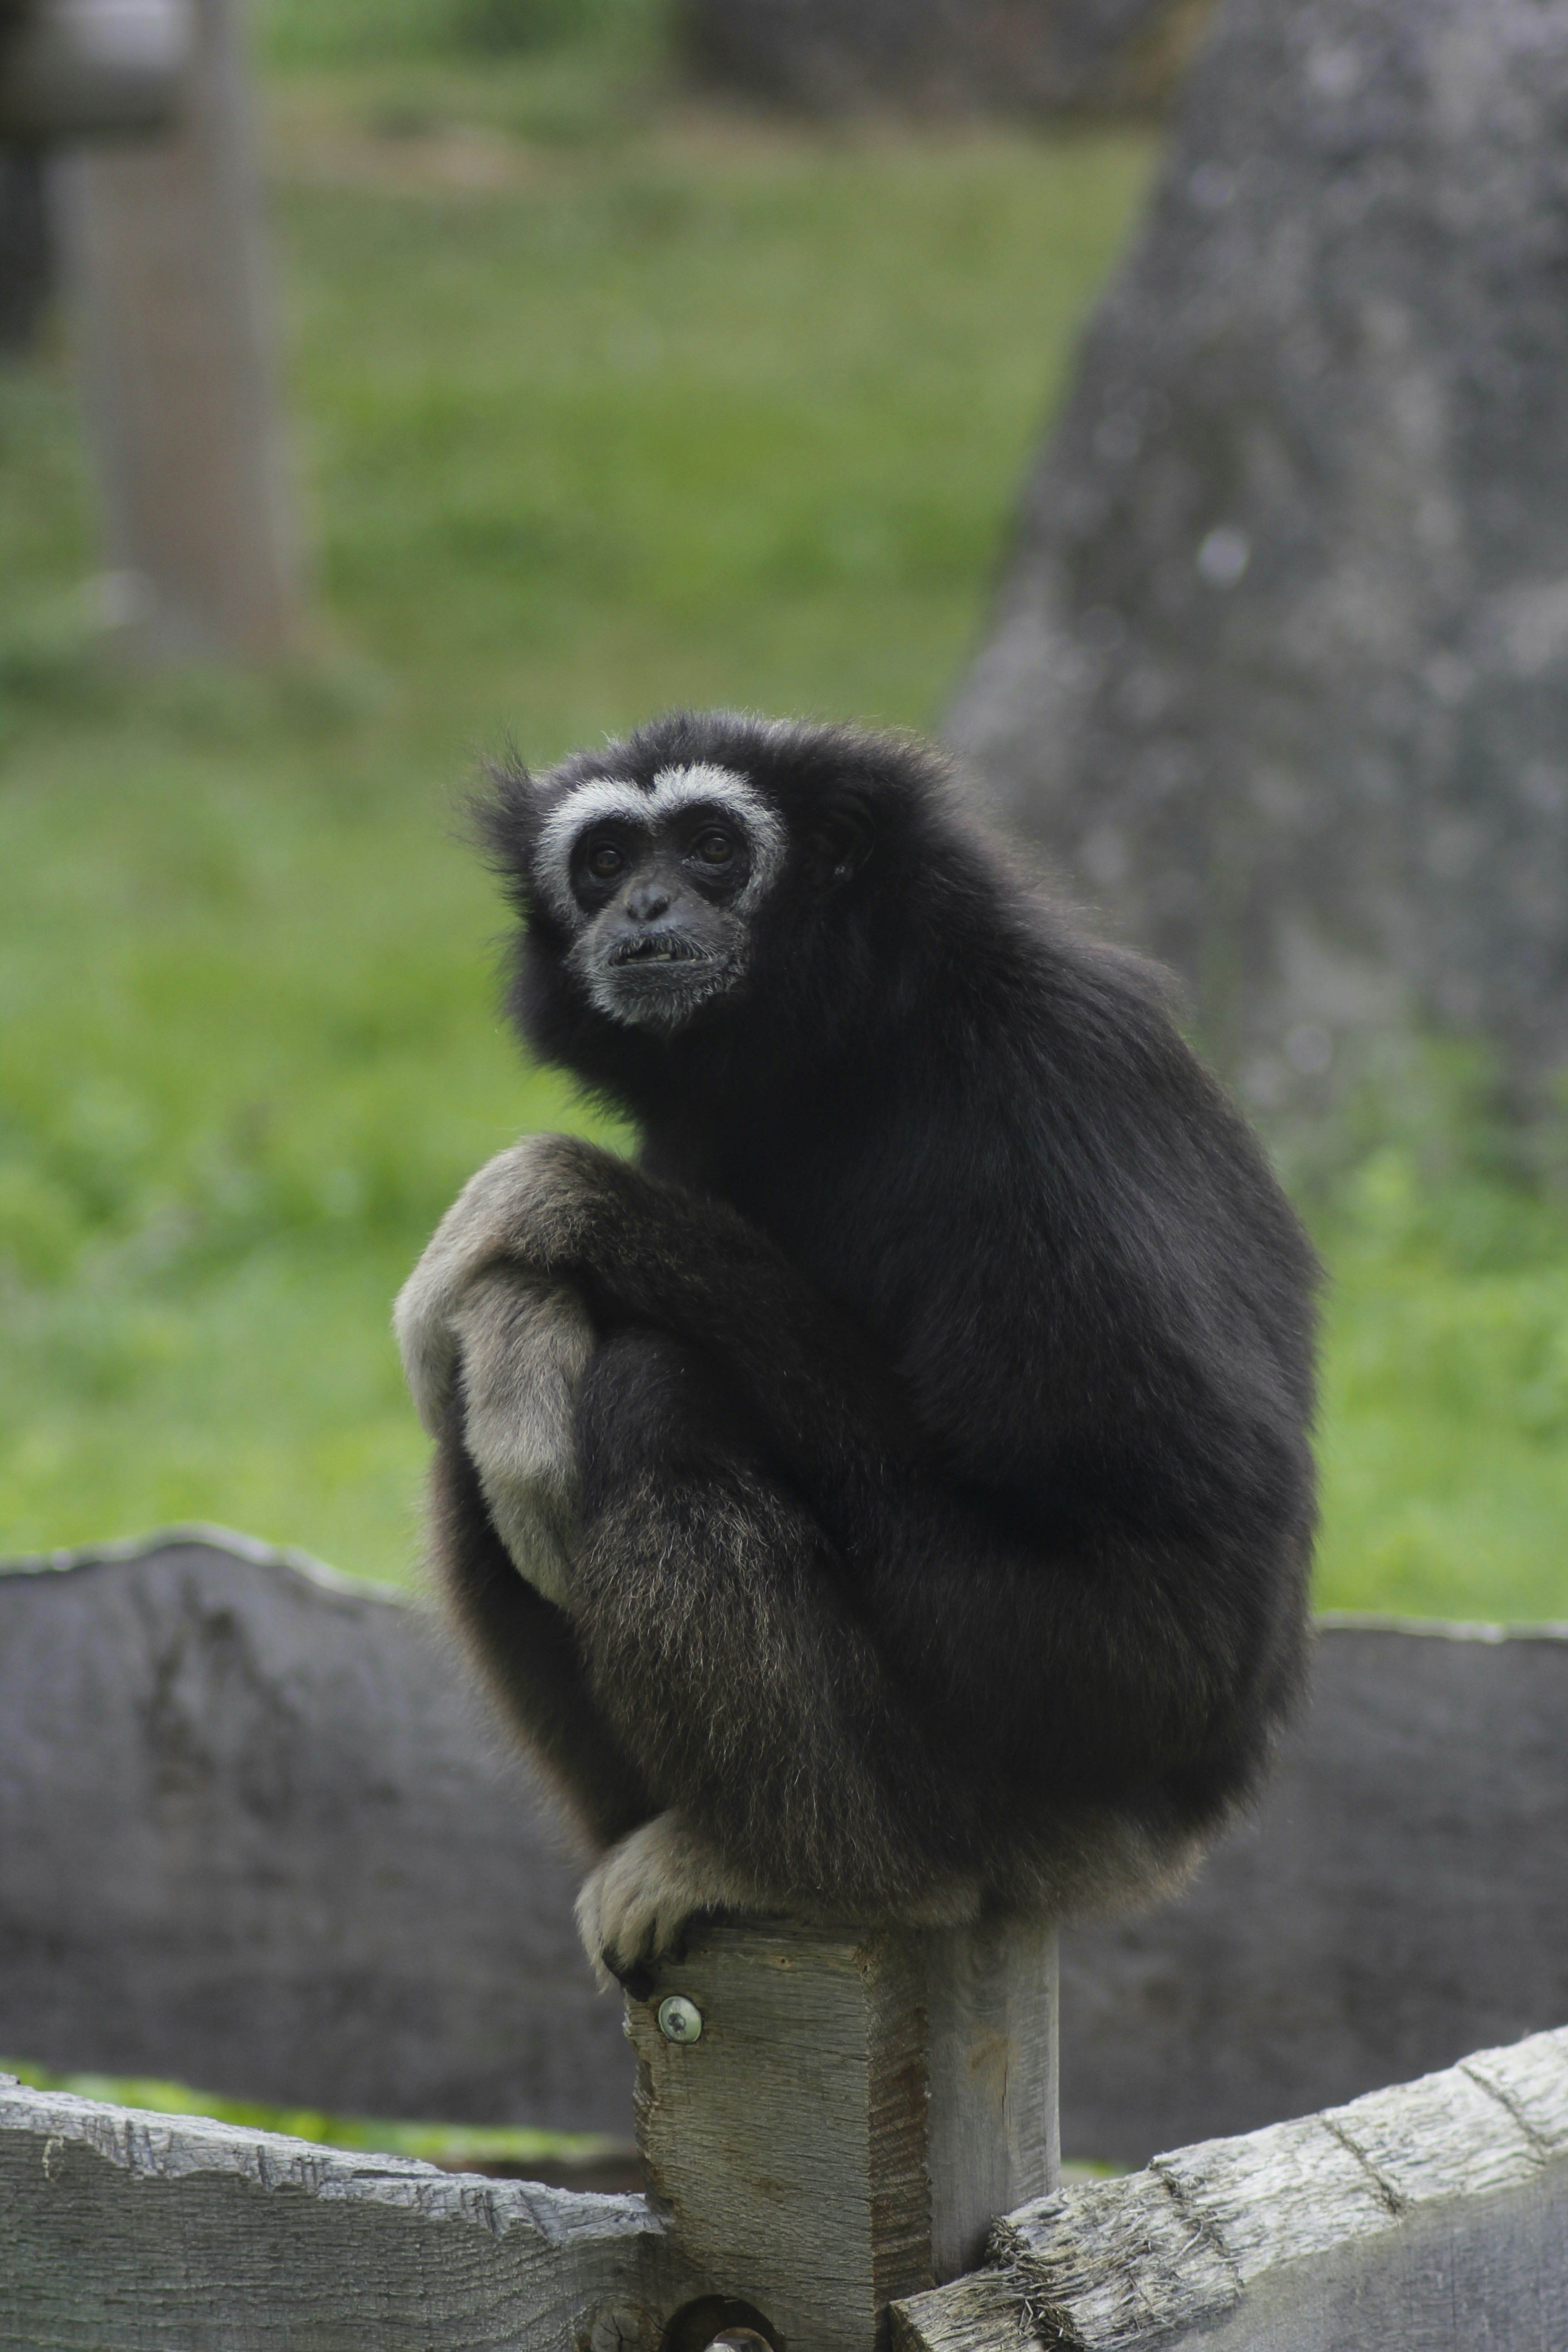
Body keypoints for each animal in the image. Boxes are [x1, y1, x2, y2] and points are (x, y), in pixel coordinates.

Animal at [395, 710, 1318, 1992]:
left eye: (712, 846)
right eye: (604, 860)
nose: (642, 906)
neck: (865, 1037)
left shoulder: (1047, 1106)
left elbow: (1169, 1624)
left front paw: (540, 1196)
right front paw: (516, 1312)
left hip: (999, 1789)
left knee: (652, 1388)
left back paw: (798, 1868)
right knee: (486, 1438)